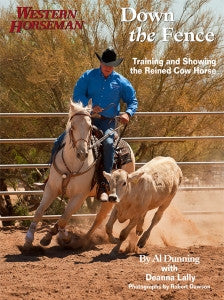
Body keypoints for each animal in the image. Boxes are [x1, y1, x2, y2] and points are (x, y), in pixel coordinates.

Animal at [24, 101, 135, 248]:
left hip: (111, 198)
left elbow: (64, 218)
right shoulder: (51, 189)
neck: (72, 164)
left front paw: (62, 238)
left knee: (99, 218)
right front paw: (29, 238)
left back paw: (87, 239)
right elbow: (39, 212)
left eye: (90, 127)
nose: (82, 154)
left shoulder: (79, 196)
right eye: (72, 126)